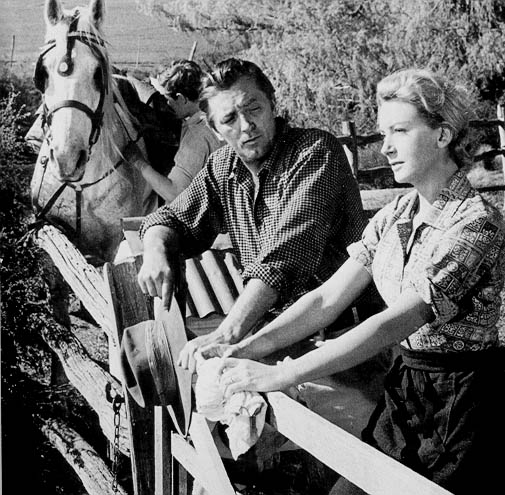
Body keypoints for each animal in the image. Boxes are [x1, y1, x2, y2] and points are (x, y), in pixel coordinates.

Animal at [31, 0, 158, 264]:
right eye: (43, 73)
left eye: (98, 72)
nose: (67, 160)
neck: (82, 186)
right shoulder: (49, 228)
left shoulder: (112, 243)